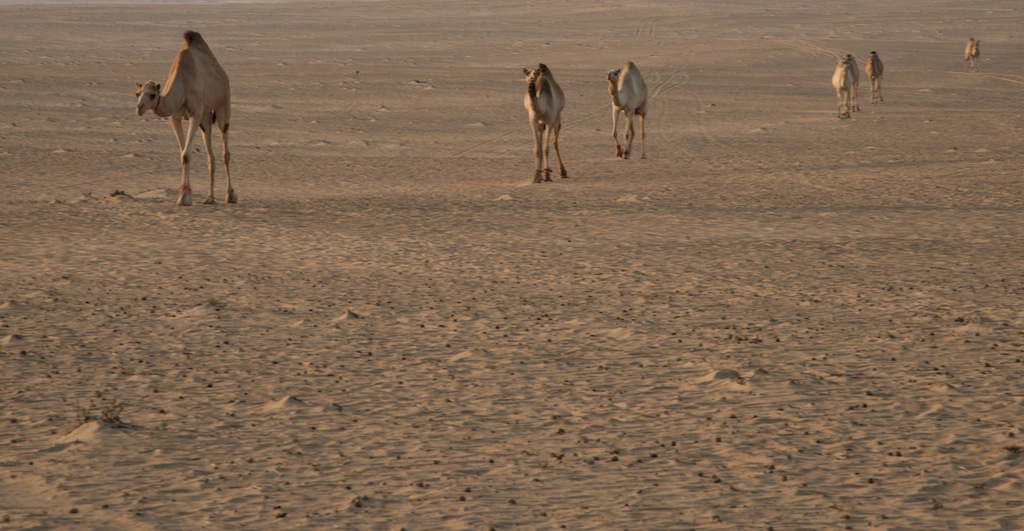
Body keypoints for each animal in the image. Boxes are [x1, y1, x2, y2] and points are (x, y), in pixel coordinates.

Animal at [135, 30, 234, 206]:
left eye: (152, 95)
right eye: (137, 94)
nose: (139, 108)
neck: (182, 83)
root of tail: (223, 74)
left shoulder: (195, 113)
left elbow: (186, 154)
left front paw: (184, 197)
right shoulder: (174, 117)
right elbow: (183, 153)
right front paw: (185, 194)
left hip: (223, 102)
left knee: (225, 150)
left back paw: (230, 195)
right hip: (206, 117)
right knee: (210, 153)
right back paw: (210, 197)